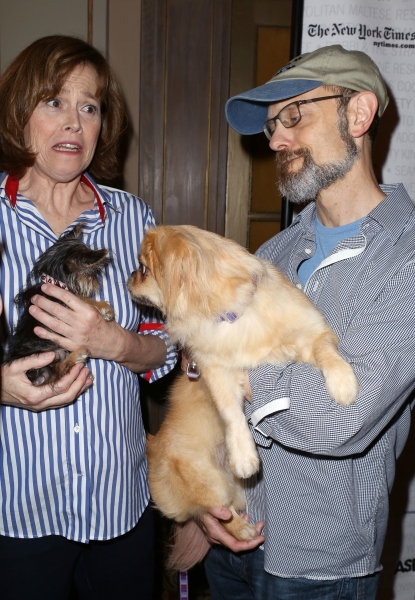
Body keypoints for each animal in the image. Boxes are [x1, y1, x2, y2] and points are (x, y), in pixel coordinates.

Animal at [4, 224, 114, 384]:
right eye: (91, 273)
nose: (95, 281)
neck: (56, 282)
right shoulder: (66, 302)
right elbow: (83, 299)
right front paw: (105, 308)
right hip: (45, 354)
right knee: (55, 373)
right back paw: (78, 355)